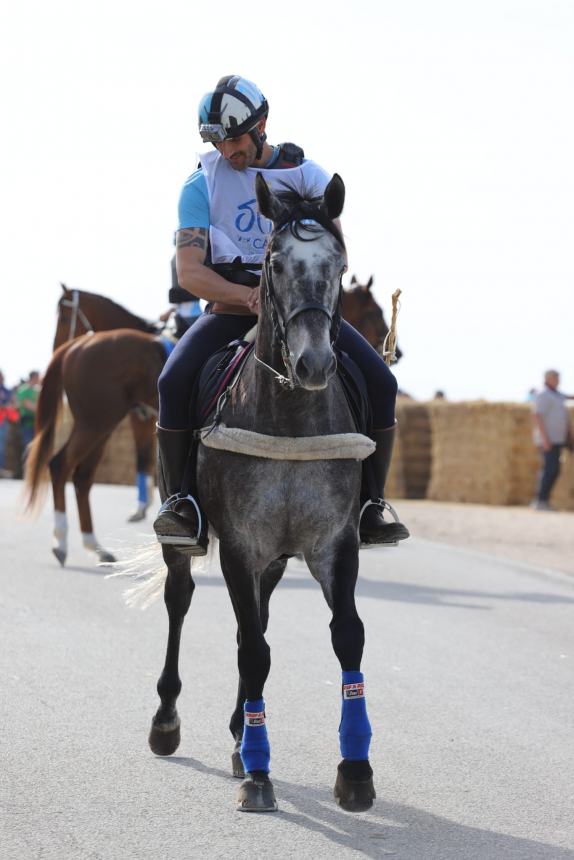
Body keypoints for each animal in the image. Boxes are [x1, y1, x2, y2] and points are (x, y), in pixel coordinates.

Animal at [23, 278, 400, 568]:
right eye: (374, 312)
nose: (397, 351)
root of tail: (77, 347)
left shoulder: (140, 419)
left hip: (100, 423)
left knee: (81, 476)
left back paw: (94, 546)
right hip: (97, 421)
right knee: (61, 466)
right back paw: (64, 543)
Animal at [147, 173, 378, 812]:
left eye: (340, 262)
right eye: (274, 263)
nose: (314, 363)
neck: (291, 418)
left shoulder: (334, 544)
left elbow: (347, 638)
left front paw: (355, 770)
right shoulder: (239, 547)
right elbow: (253, 651)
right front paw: (258, 773)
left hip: (276, 557)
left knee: (261, 615)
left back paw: (235, 732)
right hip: (187, 541)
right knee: (180, 601)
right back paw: (167, 722)